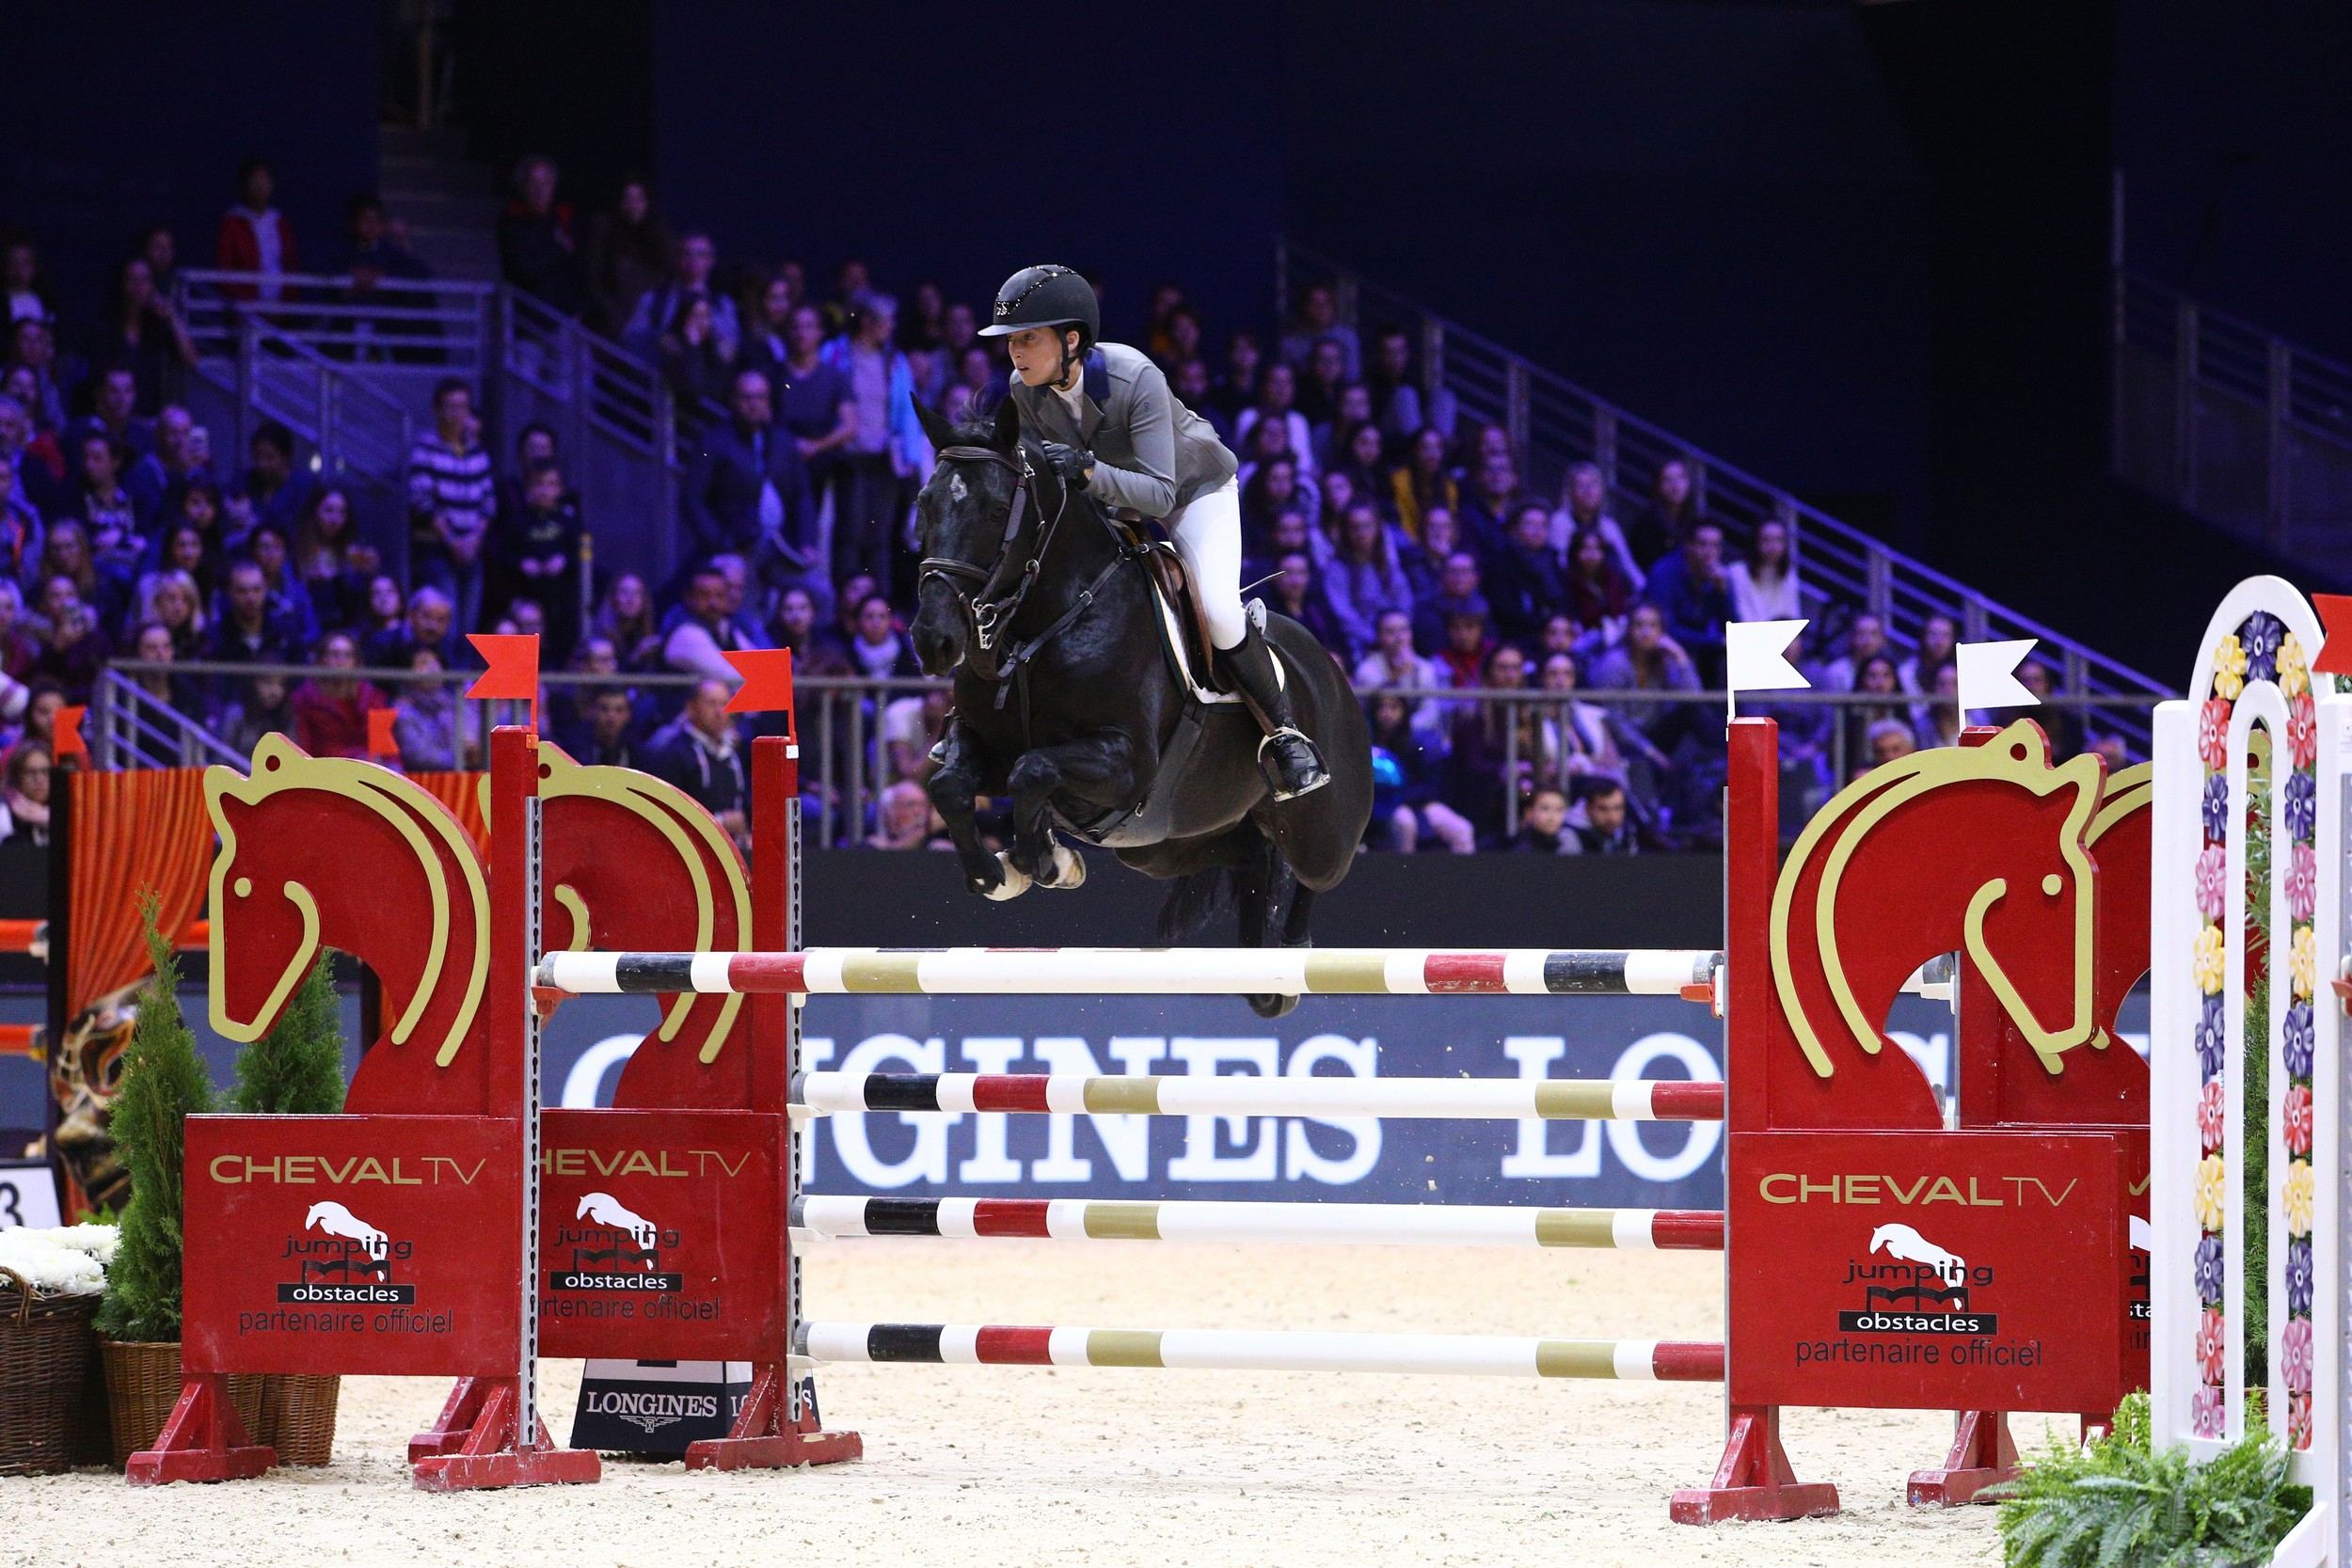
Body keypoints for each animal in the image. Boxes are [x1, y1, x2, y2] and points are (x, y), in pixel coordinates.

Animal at [908, 394, 1374, 1020]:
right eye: (924, 503)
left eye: (995, 510)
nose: (933, 640)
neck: (1044, 624)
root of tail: (1333, 672)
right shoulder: (985, 749)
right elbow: (951, 786)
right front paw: (1001, 873)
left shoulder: (1128, 763)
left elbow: (1034, 769)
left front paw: (1043, 863)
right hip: (1162, 843)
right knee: (1252, 854)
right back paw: (1261, 971)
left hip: (1319, 830)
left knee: (1311, 872)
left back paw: (1291, 959)